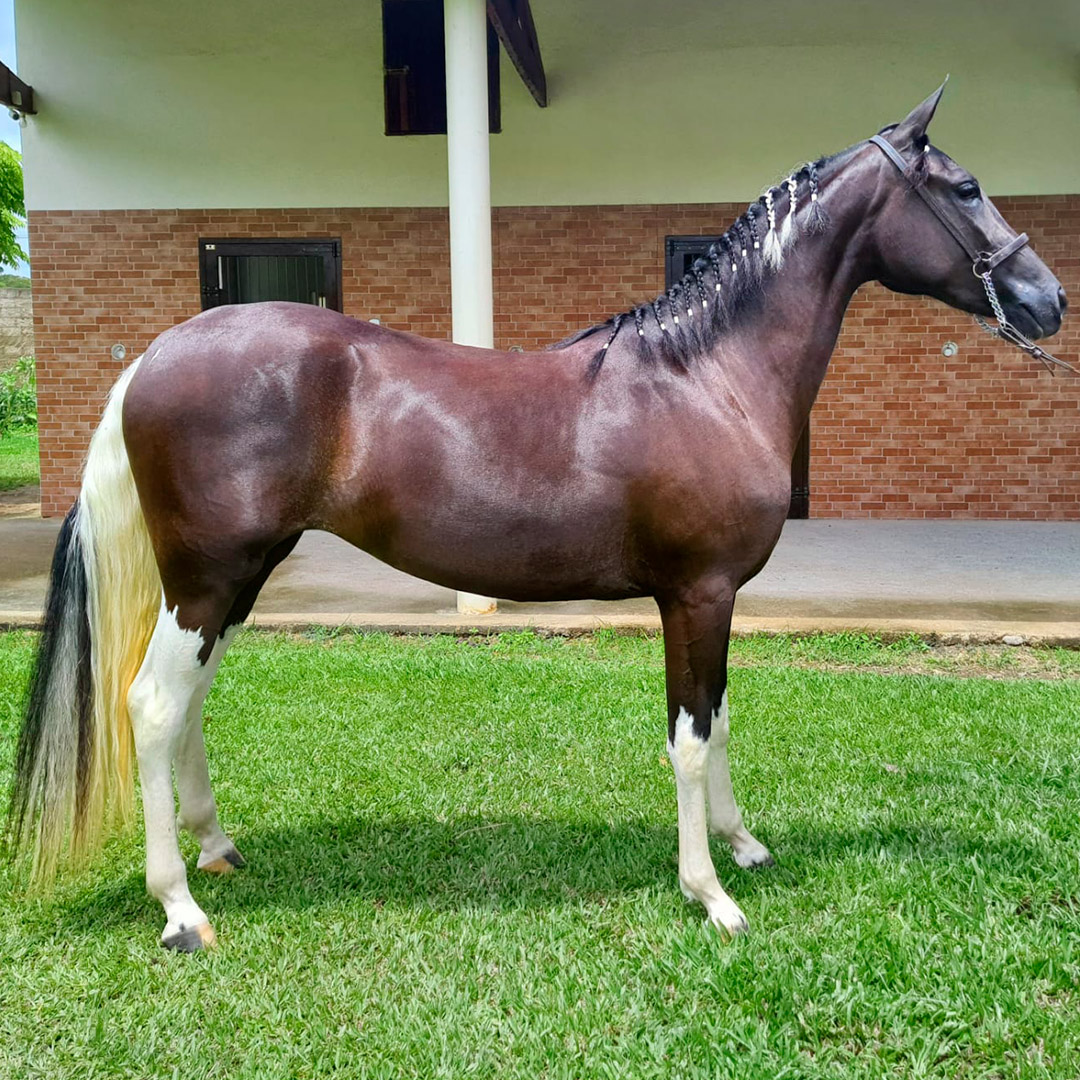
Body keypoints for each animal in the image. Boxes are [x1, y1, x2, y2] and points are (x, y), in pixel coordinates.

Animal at [4, 84, 1067, 950]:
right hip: (209, 577)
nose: (1047, 298)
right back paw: (181, 910)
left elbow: (720, 718)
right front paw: (710, 895)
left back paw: (218, 850)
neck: (706, 377)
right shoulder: (696, 593)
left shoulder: (713, 599)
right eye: (965, 187)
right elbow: (691, 734)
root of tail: (157, 355)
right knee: (152, 705)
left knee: (188, 705)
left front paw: (744, 846)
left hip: (239, 577)